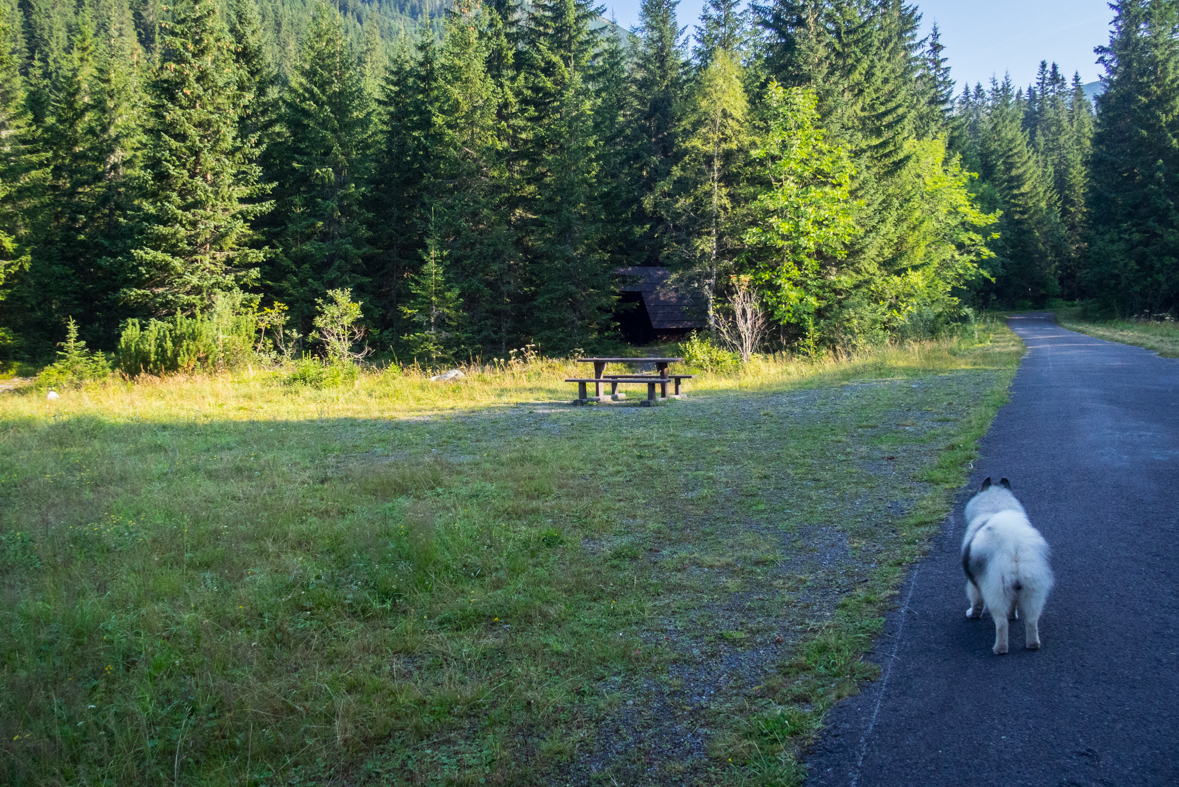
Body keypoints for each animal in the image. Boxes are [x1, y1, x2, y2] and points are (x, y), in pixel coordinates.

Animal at [962, 475, 1056, 655]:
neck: (995, 507)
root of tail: (1015, 552)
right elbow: (1012, 607)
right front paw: (1013, 616)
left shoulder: (973, 582)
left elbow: (976, 602)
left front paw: (972, 614)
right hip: (1033, 592)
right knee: (1031, 622)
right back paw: (1033, 644)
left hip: (996, 591)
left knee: (1001, 624)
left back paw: (1000, 648)